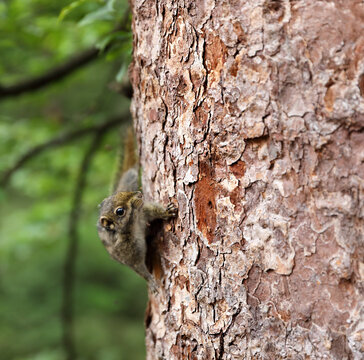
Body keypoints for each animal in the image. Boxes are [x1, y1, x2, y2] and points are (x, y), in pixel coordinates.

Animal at [96, 128, 176, 294]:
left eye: (122, 193)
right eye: (120, 211)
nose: (139, 194)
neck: (133, 225)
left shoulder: (143, 212)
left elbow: (155, 211)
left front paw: (167, 211)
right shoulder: (127, 253)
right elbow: (138, 268)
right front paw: (151, 282)